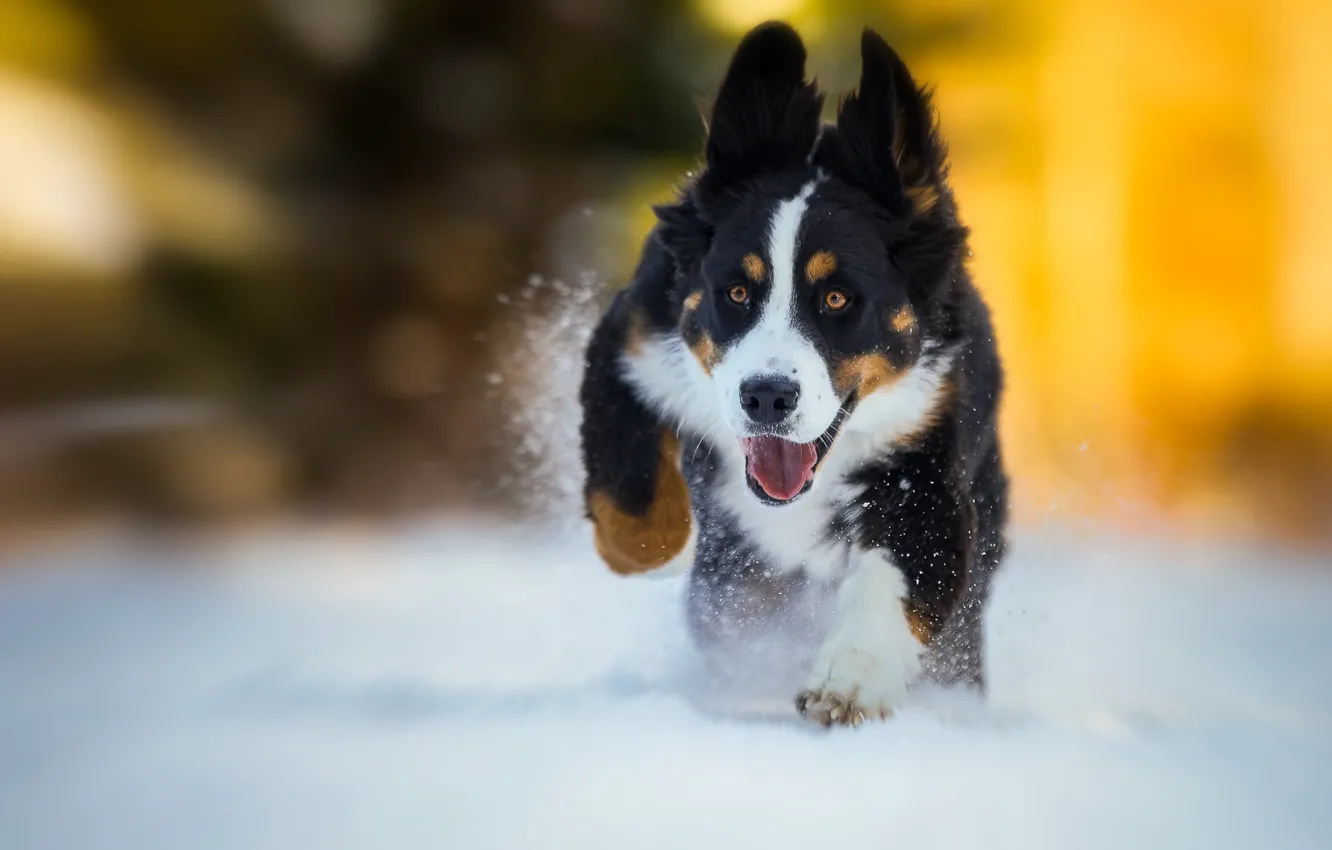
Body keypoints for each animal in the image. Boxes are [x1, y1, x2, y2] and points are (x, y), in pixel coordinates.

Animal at [578, 21, 1001, 724]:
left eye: (837, 298)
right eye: (736, 292)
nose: (766, 398)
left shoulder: (930, 455)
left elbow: (897, 576)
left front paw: (848, 683)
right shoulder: (631, 338)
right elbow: (630, 494)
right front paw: (657, 552)